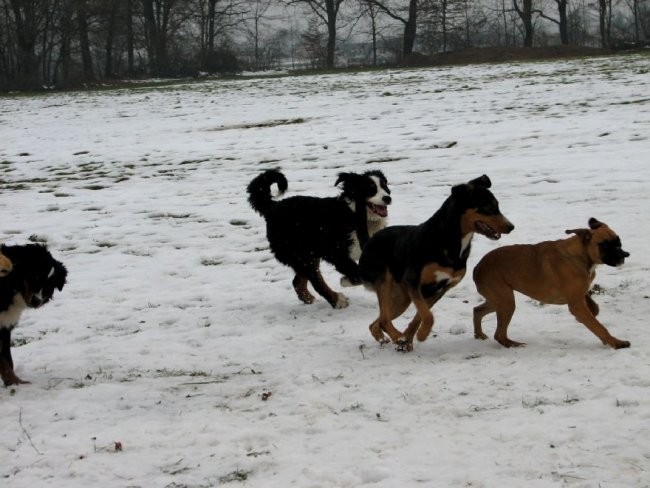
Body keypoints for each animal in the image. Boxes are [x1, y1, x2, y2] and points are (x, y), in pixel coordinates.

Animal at [0, 244, 67, 386]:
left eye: (49, 285)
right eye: (36, 276)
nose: (36, 301)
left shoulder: (5, 326)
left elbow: (8, 360)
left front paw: (13, 383)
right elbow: (4, 361)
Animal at [248, 166, 390, 306]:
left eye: (385, 186)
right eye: (370, 188)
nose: (388, 198)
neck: (353, 213)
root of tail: (273, 207)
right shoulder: (337, 253)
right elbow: (357, 273)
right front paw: (345, 281)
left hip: (310, 253)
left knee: (298, 281)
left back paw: (308, 298)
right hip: (299, 254)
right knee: (315, 279)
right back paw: (336, 300)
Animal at [360, 175, 512, 350]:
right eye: (487, 207)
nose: (511, 227)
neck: (449, 240)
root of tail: (369, 241)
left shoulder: (440, 289)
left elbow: (420, 316)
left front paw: (413, 337)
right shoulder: (413, 281)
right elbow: (427, 315)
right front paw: (419, 335)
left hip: (401, 298)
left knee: (376, 322)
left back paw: (388, 338)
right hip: (384, 280)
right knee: (384, 319)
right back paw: (397, 337)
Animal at [470, 219, 628, 348]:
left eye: (618, 241)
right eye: (605, 245)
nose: (625, 255)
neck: (580, 255)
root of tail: (477, 268)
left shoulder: (579, 296)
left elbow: (593, 309)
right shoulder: (576, 305)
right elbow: (598, 326)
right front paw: (615, 342)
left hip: (498, 300)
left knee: (477, 310)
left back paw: (479, 335)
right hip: (505, 302)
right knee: (499, 334)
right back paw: (513, 344)